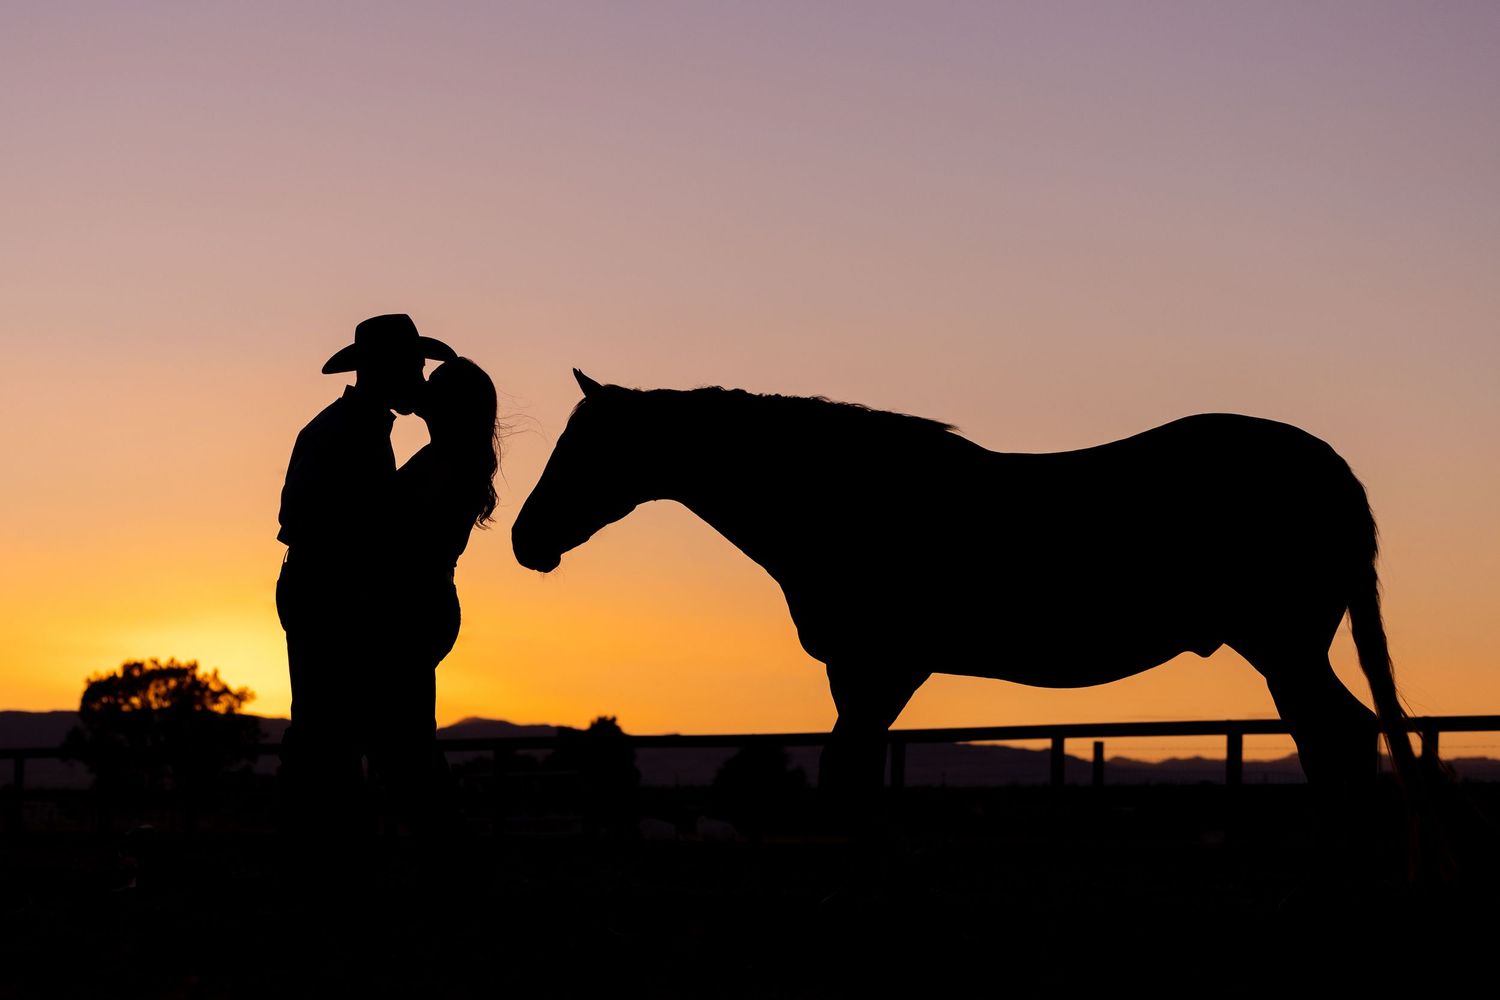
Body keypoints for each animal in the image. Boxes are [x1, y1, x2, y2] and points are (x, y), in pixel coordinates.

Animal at [512, 370, 1417, 796]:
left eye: (587, 448)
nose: (526, 540)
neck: (840, 497)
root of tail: (1329, 467)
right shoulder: (862, 678)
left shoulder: (880, 669)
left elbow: (847, 773)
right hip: (1287, 650)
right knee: (1336, 737)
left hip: (1284, 644)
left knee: (1343, 736)